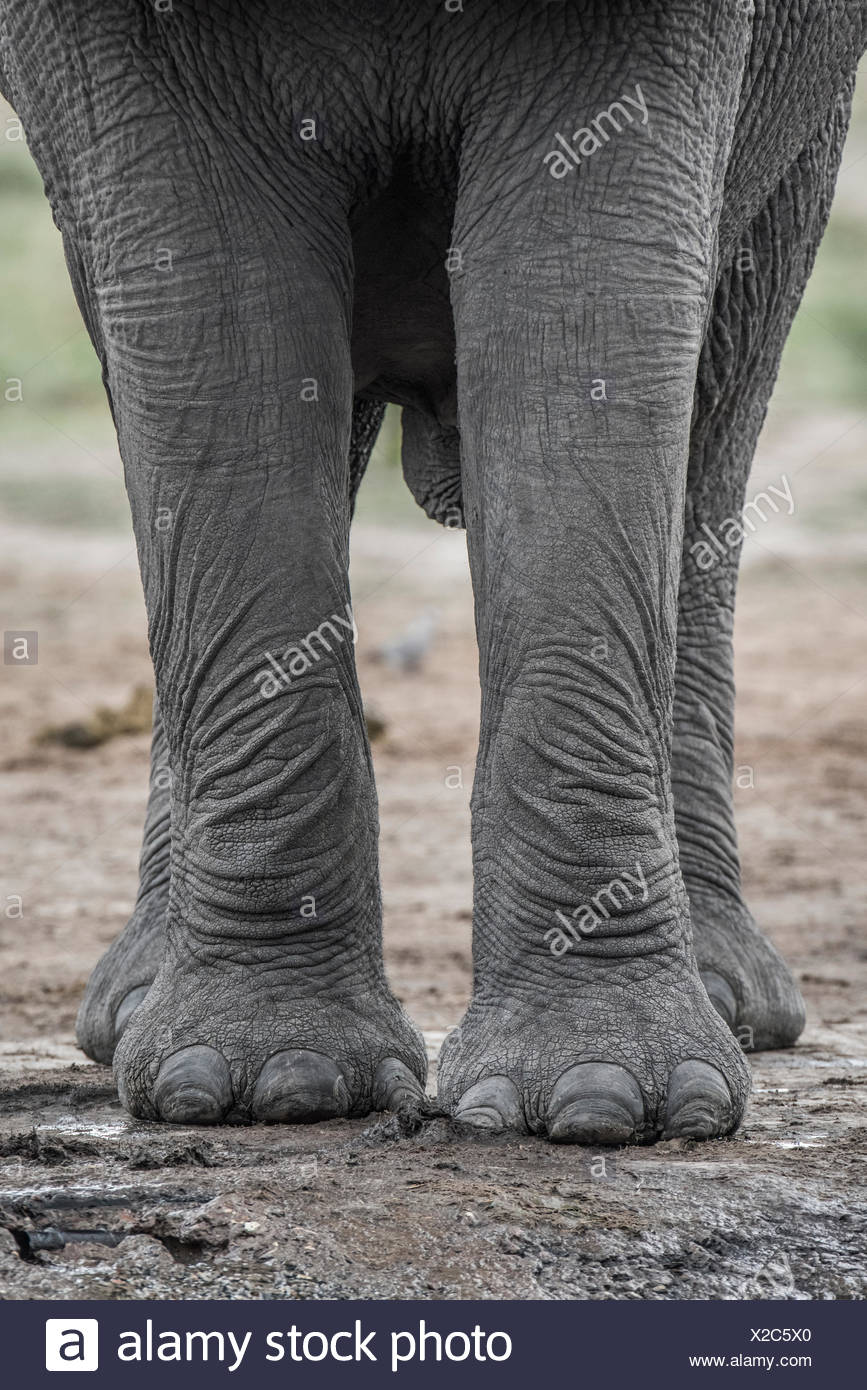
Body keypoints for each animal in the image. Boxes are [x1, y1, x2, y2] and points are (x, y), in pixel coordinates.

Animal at [3, 0, 861, 1139]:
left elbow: (586, 319)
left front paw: (605, 1102)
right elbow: (209, 330)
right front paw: (261, 1086)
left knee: (721, 401)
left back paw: (728, 1001)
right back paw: (141, 1009)